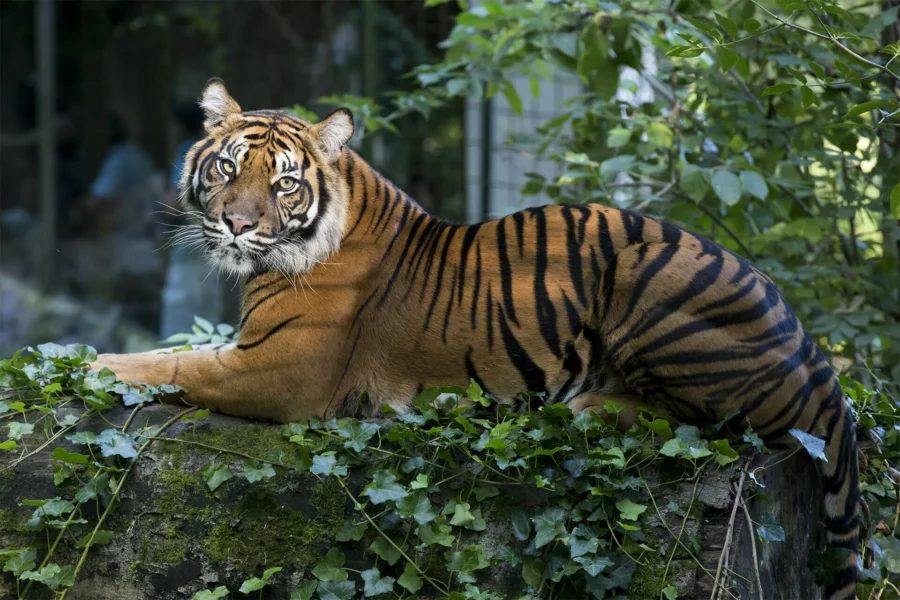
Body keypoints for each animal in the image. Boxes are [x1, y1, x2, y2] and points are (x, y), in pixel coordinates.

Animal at [91, 79, 856, 600]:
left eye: (283, 185)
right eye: (226, 168)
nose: (238, 225)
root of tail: (818, 356)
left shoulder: (278, 370)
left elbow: (171, 367)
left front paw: (89, 364)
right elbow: (172, 354)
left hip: (647, 275)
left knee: (718, 425)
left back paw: (591, 406)